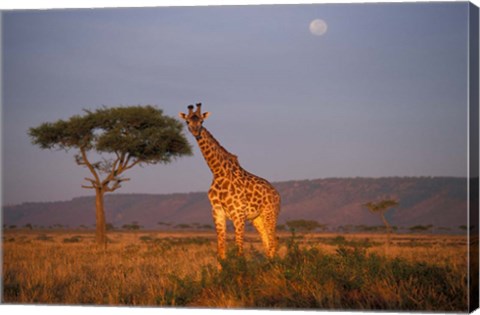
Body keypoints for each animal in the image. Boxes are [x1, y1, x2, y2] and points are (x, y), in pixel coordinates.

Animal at [178, 103, 280, 262]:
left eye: (201, 121)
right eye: (187, 121)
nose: (195, 132)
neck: (218, 172)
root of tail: (277, 194)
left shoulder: (238, 214)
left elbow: (239, 252)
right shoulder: (217, 212)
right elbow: (221, 252)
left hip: (270, 214)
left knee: (273, 243)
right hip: (257, 219)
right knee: (267, 243)